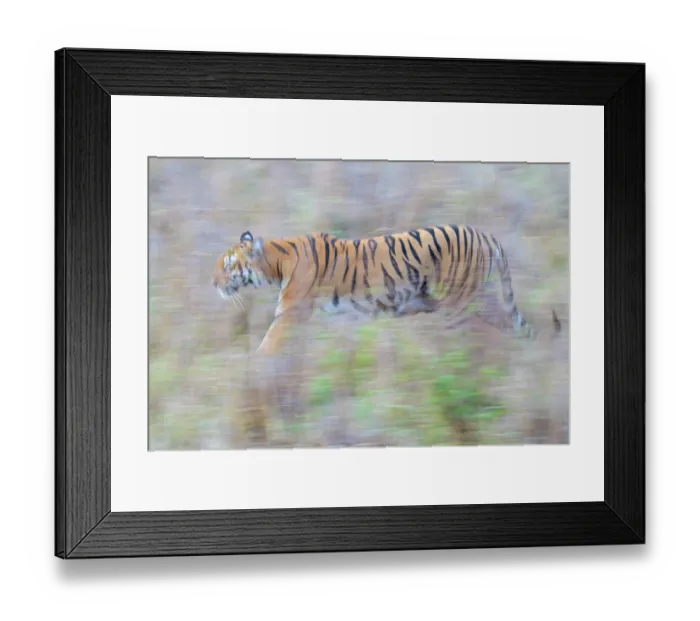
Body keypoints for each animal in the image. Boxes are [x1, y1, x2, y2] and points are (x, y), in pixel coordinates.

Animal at [212, 226, 561, 355]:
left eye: (228, 266)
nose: (213, 283)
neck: (276, 262)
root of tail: (487, 234)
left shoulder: (289, 313)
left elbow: (269, 345)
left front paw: (254, 370)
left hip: (462, 304)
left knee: (491, 337)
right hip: (476, 300)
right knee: (516, 327)